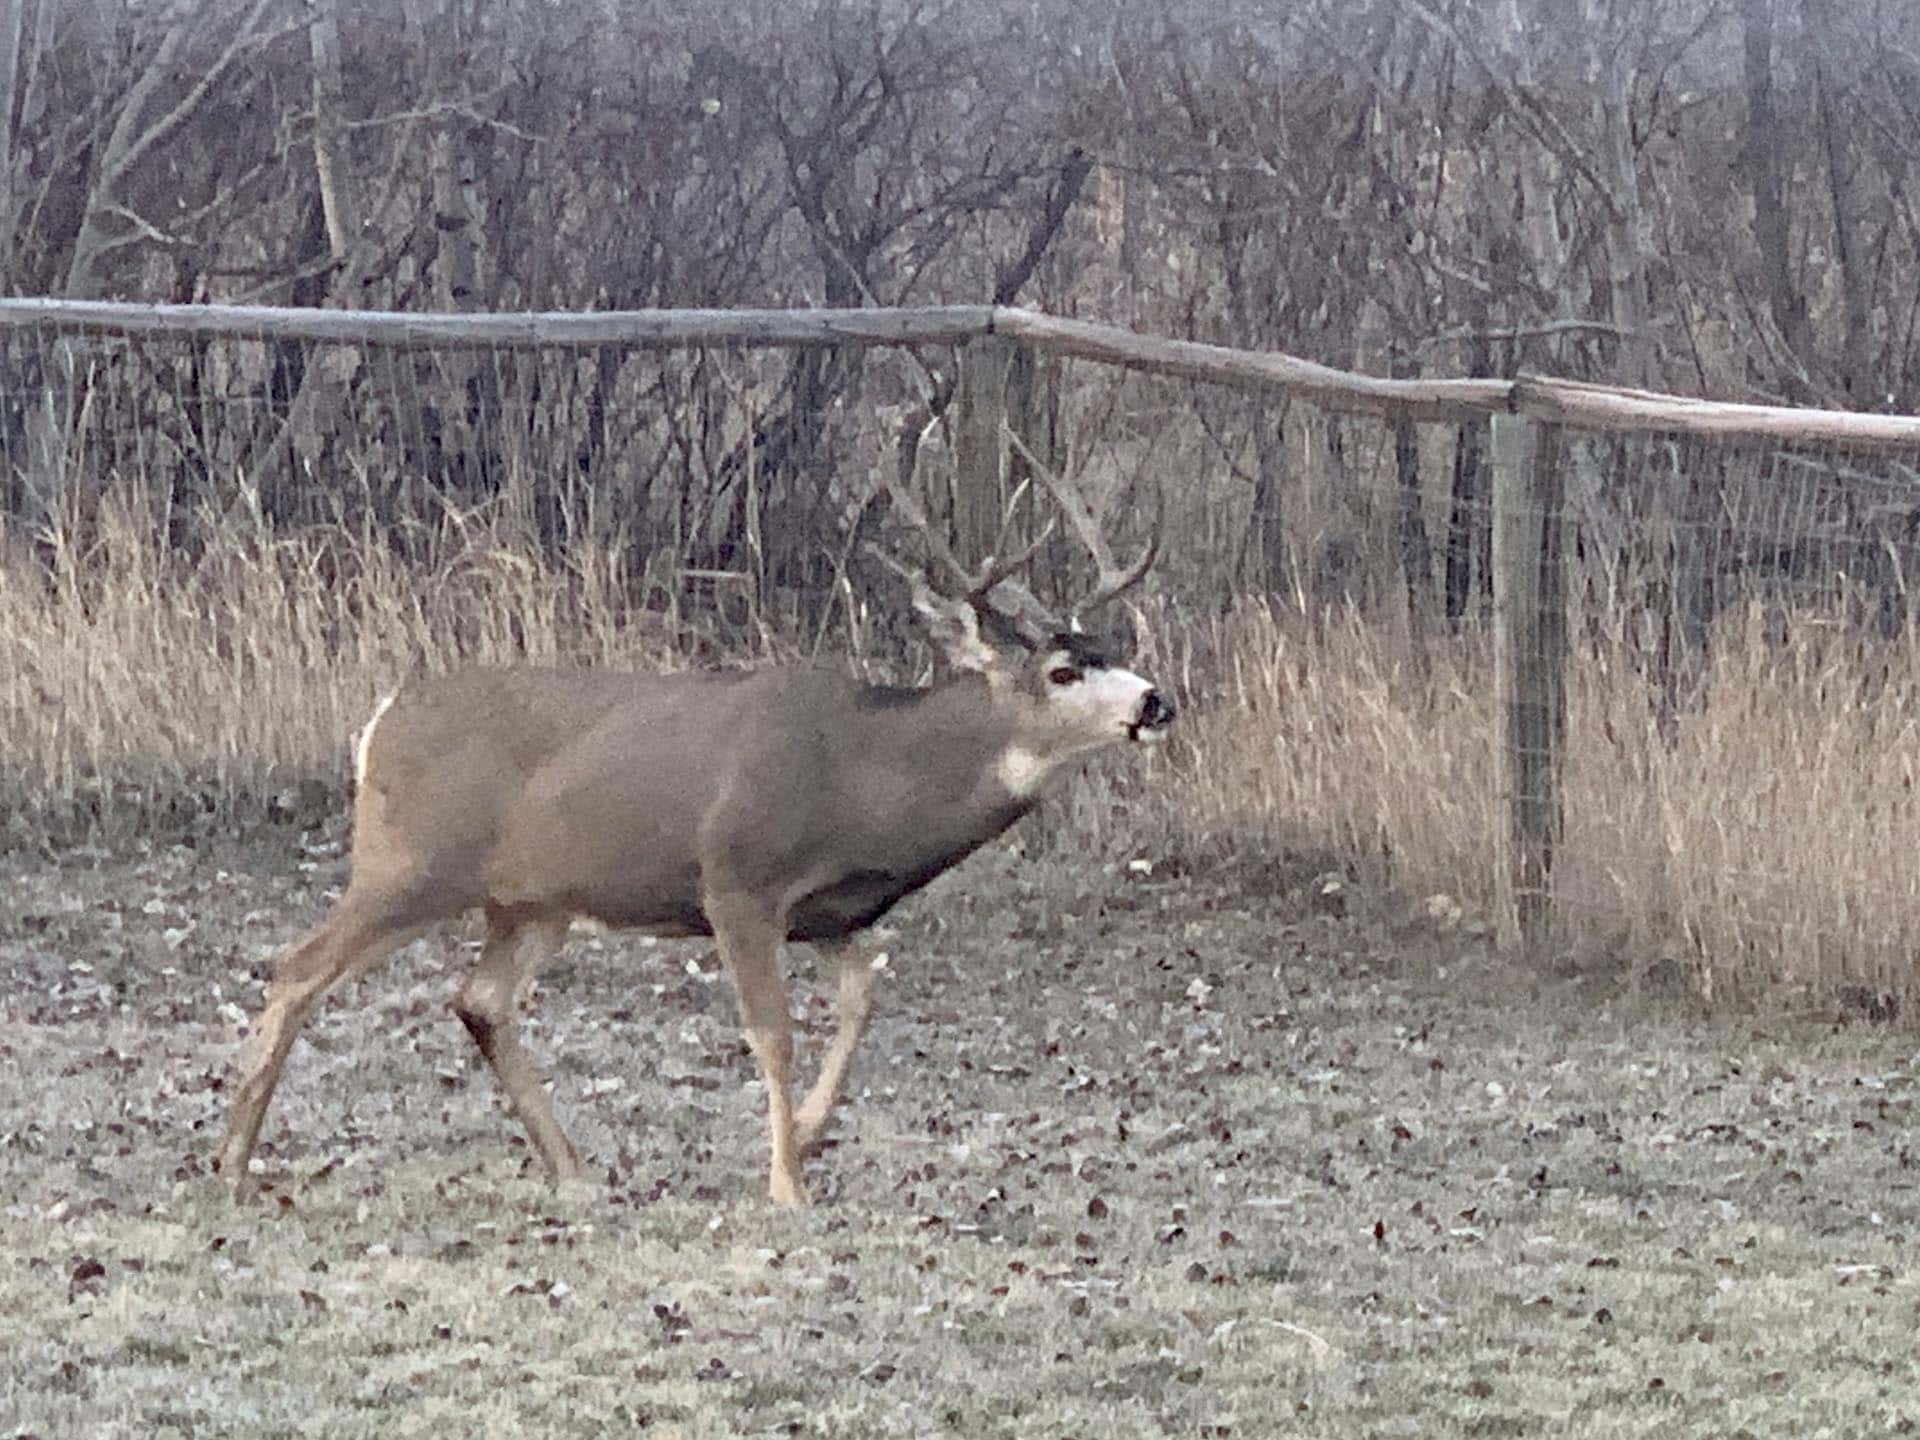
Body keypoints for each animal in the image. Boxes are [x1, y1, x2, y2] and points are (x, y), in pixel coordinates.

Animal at [216, 462, 1175, 1207]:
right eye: (1062, 671)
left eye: (1109, 646)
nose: (1154, 700)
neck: (866, 775)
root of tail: (379, 722)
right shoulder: (737, 879)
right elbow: (773, 1032)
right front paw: (787, 1185)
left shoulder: (831, 914)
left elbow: (862, 1001)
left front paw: (810, 1136)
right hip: (410, 866)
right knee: (297, 968)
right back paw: (232, 1159)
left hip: (529, 902)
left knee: (478, 1000)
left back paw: (574, 1169)